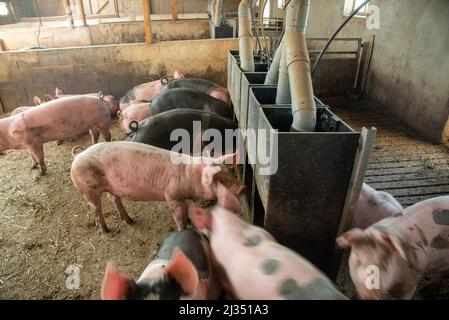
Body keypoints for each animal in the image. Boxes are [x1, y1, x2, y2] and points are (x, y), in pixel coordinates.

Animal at [71, 142, 245, 232]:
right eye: (217, 179)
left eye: (228, 171)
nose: (242, 187)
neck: (189, 175)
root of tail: (78, 155)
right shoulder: (172, 195)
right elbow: (178, 216)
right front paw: (183, 229)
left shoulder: (185, 196)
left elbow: (189, 210)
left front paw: (190, 221)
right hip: (87, 190)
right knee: (96, 208)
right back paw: (106, 230)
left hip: (112, 187)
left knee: (113, 198)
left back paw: (130, 221)